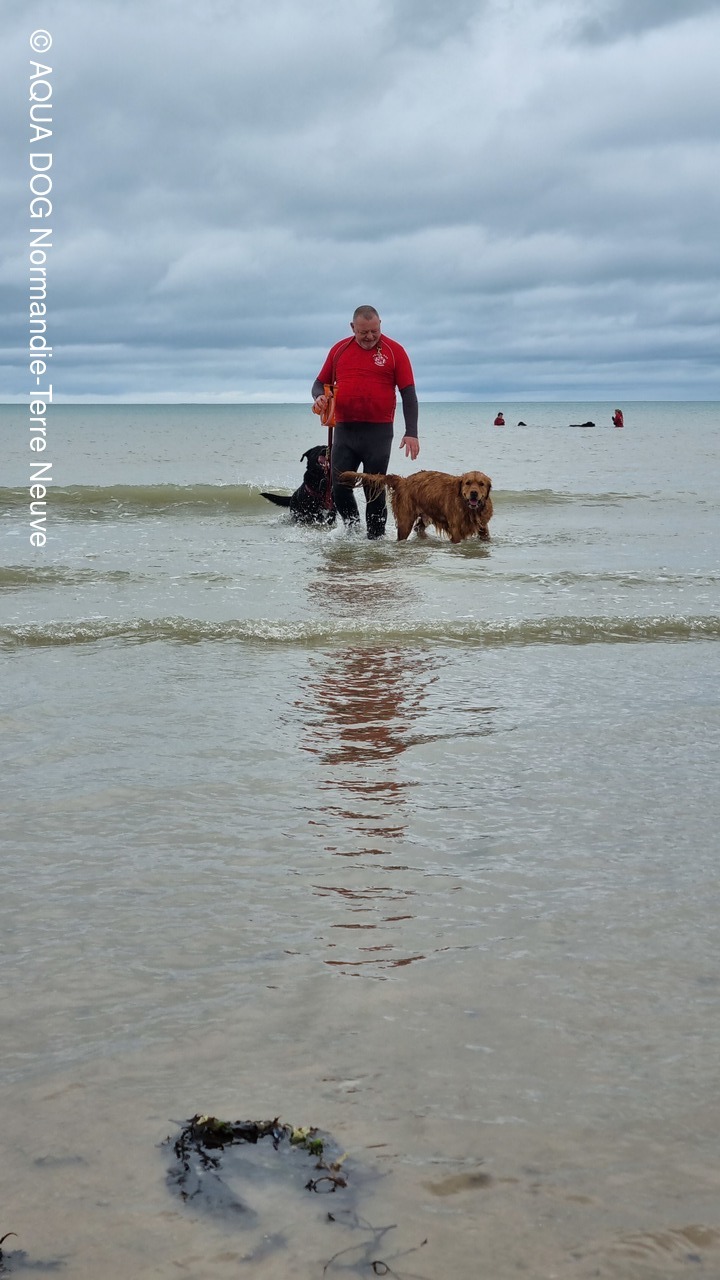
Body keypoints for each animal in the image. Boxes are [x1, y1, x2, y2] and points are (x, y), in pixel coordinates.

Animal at [340, 469, 493, 543]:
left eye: (481, 484)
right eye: (468, 483)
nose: (474, 493)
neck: (469, 509)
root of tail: (403, 480)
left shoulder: (483, 526)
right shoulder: (456, 530)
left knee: (419, 528)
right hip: (405, 521)